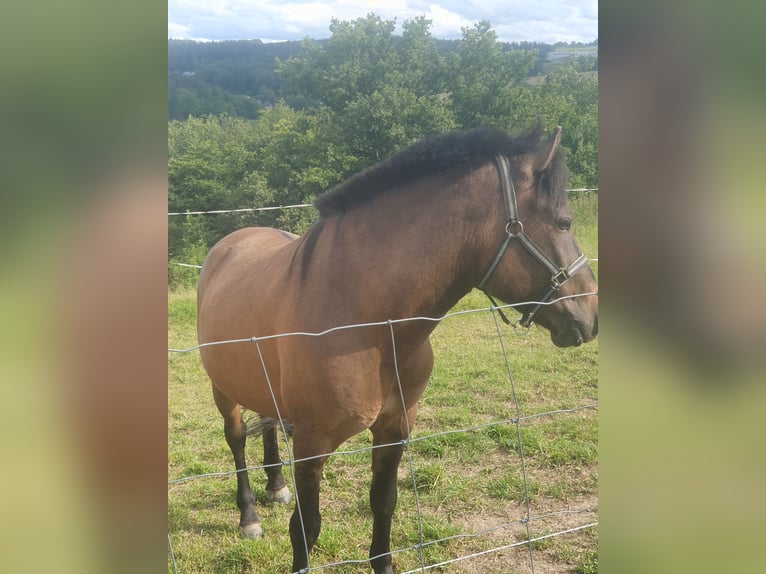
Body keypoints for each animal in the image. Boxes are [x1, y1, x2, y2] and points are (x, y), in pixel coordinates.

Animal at [196, 127, 600, 574]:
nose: (590, 315)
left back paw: (276, 486)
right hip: (222, 389)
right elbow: (306, 529)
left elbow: (384, 504)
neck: (367, 322)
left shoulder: (394, 430)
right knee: (236, 440)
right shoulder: (311, 444)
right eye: (564, 222)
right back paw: (249, 516)